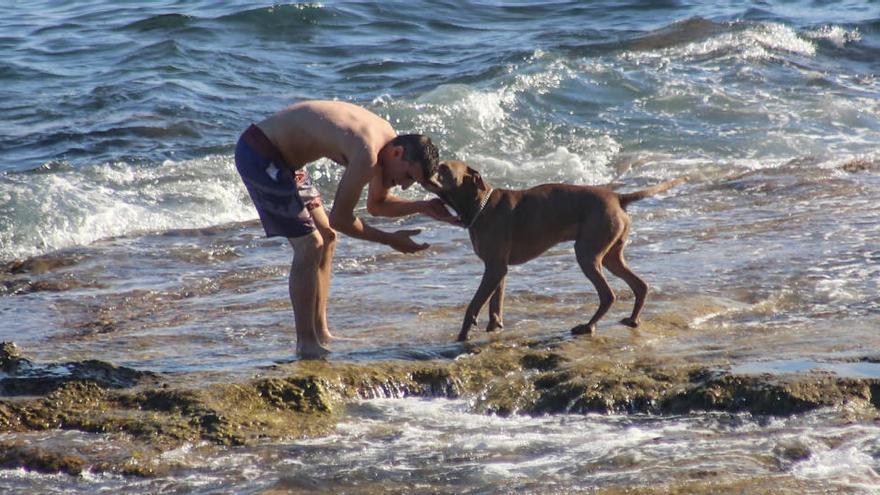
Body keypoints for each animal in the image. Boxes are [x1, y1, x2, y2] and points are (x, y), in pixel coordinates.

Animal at [422, 161, 684, 342]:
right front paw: (495, 326)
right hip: (611, 256)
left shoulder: (495, 267)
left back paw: (587, 326)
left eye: (443, 166)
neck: (479, 205)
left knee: (608, 294)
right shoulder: (498, 269)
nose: (426, 165)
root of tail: (617, 196)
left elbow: (474, 305)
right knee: (640, 285)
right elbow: (496, 303)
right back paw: (633, 320)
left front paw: (463, 335)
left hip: (587, 255)